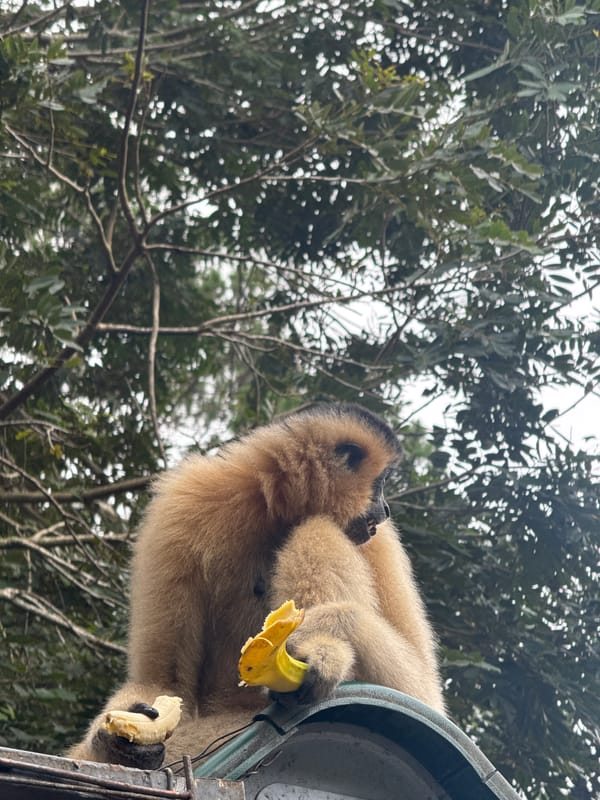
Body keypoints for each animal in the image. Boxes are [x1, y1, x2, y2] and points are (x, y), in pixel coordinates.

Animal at [67, 403, 445, 769]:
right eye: (381, 482)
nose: (385, 509)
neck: (276, 512)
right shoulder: (181, 509)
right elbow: (163, 682)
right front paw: (116, 740)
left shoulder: (379, 541)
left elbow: (423, 694)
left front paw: (323, 643)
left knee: (317, 529)